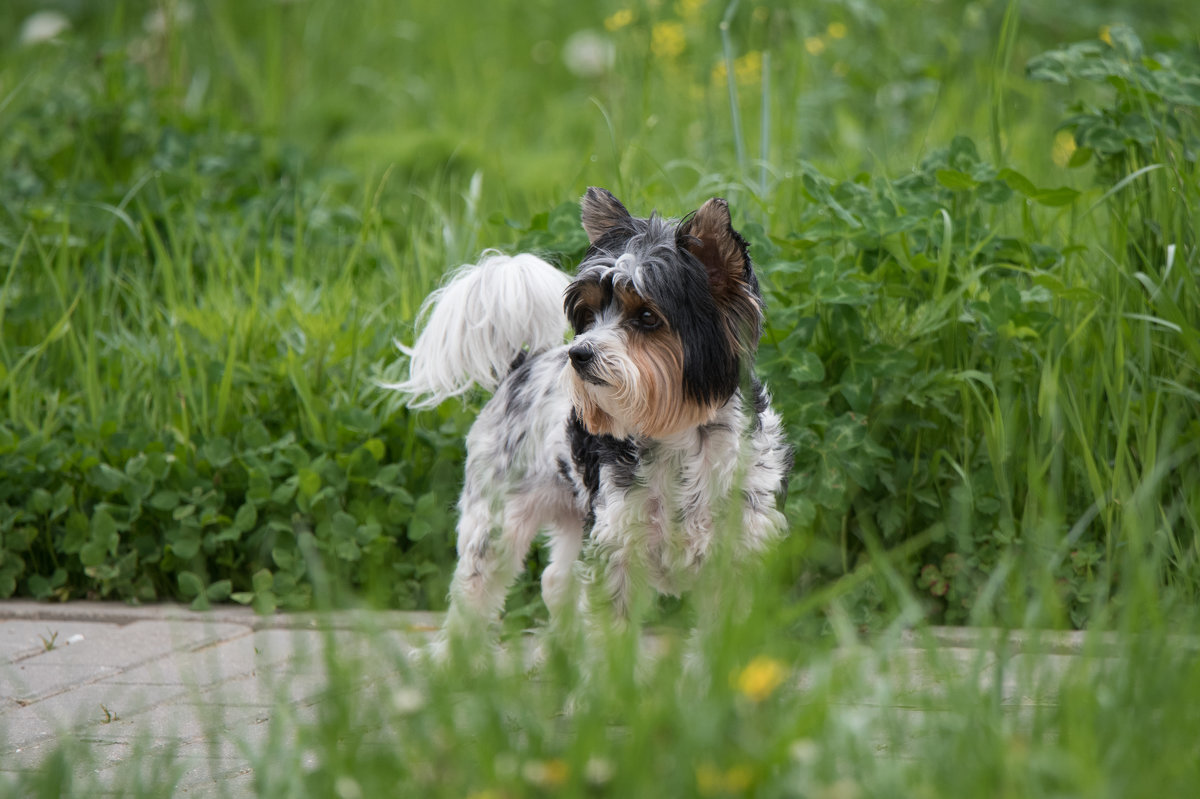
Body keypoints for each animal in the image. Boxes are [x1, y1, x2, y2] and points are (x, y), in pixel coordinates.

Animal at [391, 188, 796, 657]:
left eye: (647, 317)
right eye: (590, 312)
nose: (578, 353)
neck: (678, 436)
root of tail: (522, 364)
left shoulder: (738, 557)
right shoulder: (616, 550)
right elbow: (610, 637)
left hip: (572, 516)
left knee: (555, 580)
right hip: (496, 519)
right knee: (475, 588)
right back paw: (451, 658)